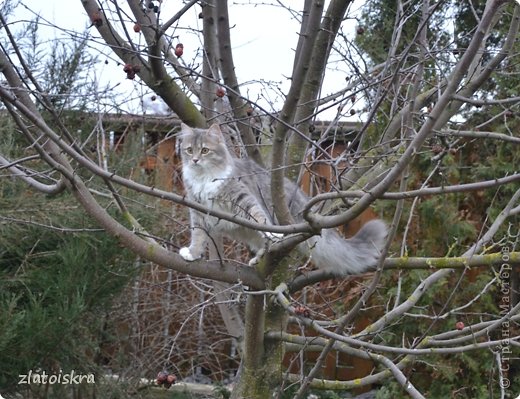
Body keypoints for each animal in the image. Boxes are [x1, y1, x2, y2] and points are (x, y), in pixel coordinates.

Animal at [179, 123, 386, 276]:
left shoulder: (242, 197)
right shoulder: (198, 211)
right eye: (189, 150)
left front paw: (273, 233)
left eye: (205, 150)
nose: (195, 160)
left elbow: (259, 216)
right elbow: (198, 235)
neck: (203, 179)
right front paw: (192, 253)